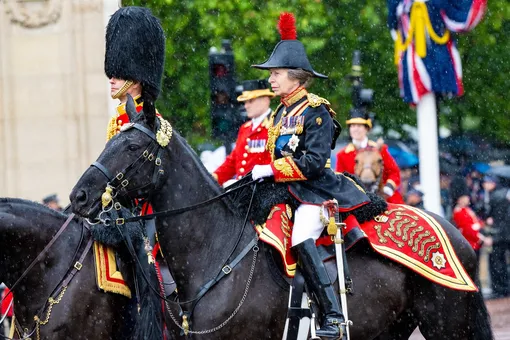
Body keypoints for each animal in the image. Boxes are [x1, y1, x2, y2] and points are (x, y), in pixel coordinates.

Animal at [69, 97, 492, 338]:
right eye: (111, 140)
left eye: (132, 146)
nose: (79, 196)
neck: (217, 254)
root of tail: (453, 233)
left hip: (447, 324)